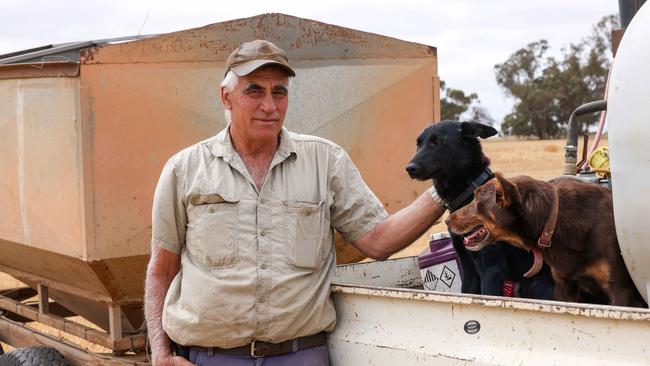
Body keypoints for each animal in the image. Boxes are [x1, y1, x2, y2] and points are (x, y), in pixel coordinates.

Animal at [404, 121, 552, 298]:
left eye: (437, 142)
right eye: (418, 145)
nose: (409, 168)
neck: (468, 193)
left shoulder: (491, 270)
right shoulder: (469, 268)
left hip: (537, 285)